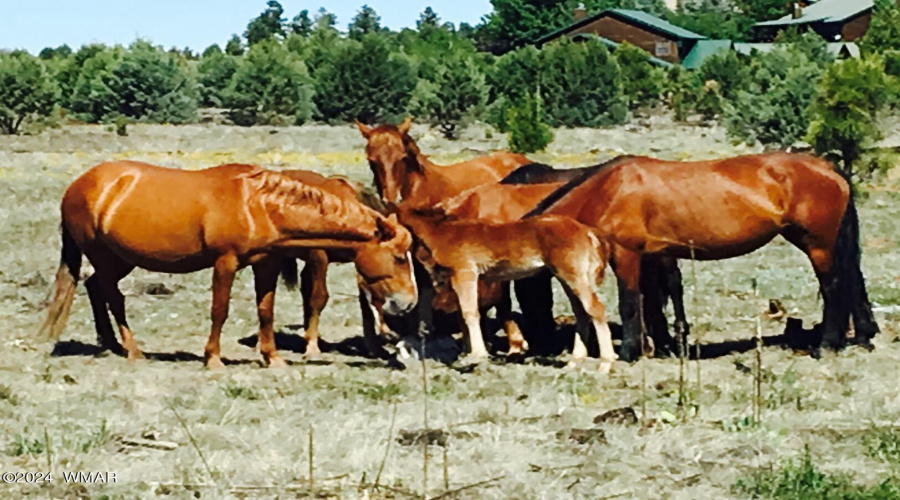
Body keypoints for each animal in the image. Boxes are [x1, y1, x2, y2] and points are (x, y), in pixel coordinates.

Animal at [38, 162, 418, 370]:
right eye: (400, 256)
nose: (409, 302)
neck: (258, 205)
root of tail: (79, 185)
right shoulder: (225, 263)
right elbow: (219, 310)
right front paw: (214, 359)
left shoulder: (266, 265)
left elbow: (266, 311)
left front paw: (272, 357)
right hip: (106, 257)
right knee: (112, 297)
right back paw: (132, 350)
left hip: (121, 259)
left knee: (94, 287)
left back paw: (110, 344)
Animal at [400, 204, 620, 368]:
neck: (443, 230)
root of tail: (588, 231)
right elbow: (463, 315)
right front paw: (466, 352)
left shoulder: (464, 273)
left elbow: (470, 313)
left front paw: (477, 355)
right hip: (569, 278)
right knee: (582, 312)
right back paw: (575, 361)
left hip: (573, 277)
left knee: (596, 309)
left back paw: (606, 363)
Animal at [528, 151, 880, 360]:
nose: (540, 349)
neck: (606, 190)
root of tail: (826, 167)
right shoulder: (651, 256)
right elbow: (653, 302)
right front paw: (662, 346)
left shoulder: (626, 254)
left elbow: (630, 302)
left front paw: (629, 351)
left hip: (818, 245)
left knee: (834, 288)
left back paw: (827, 345)